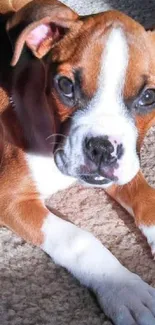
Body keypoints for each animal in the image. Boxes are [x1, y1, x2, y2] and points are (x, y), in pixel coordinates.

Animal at [0, 0, 155, 324]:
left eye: (149, 97)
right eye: (65, 86)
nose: (102, 149)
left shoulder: (124, 166)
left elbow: (147, 197)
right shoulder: (9, 197)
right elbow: (78, 239)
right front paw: (125, 290)